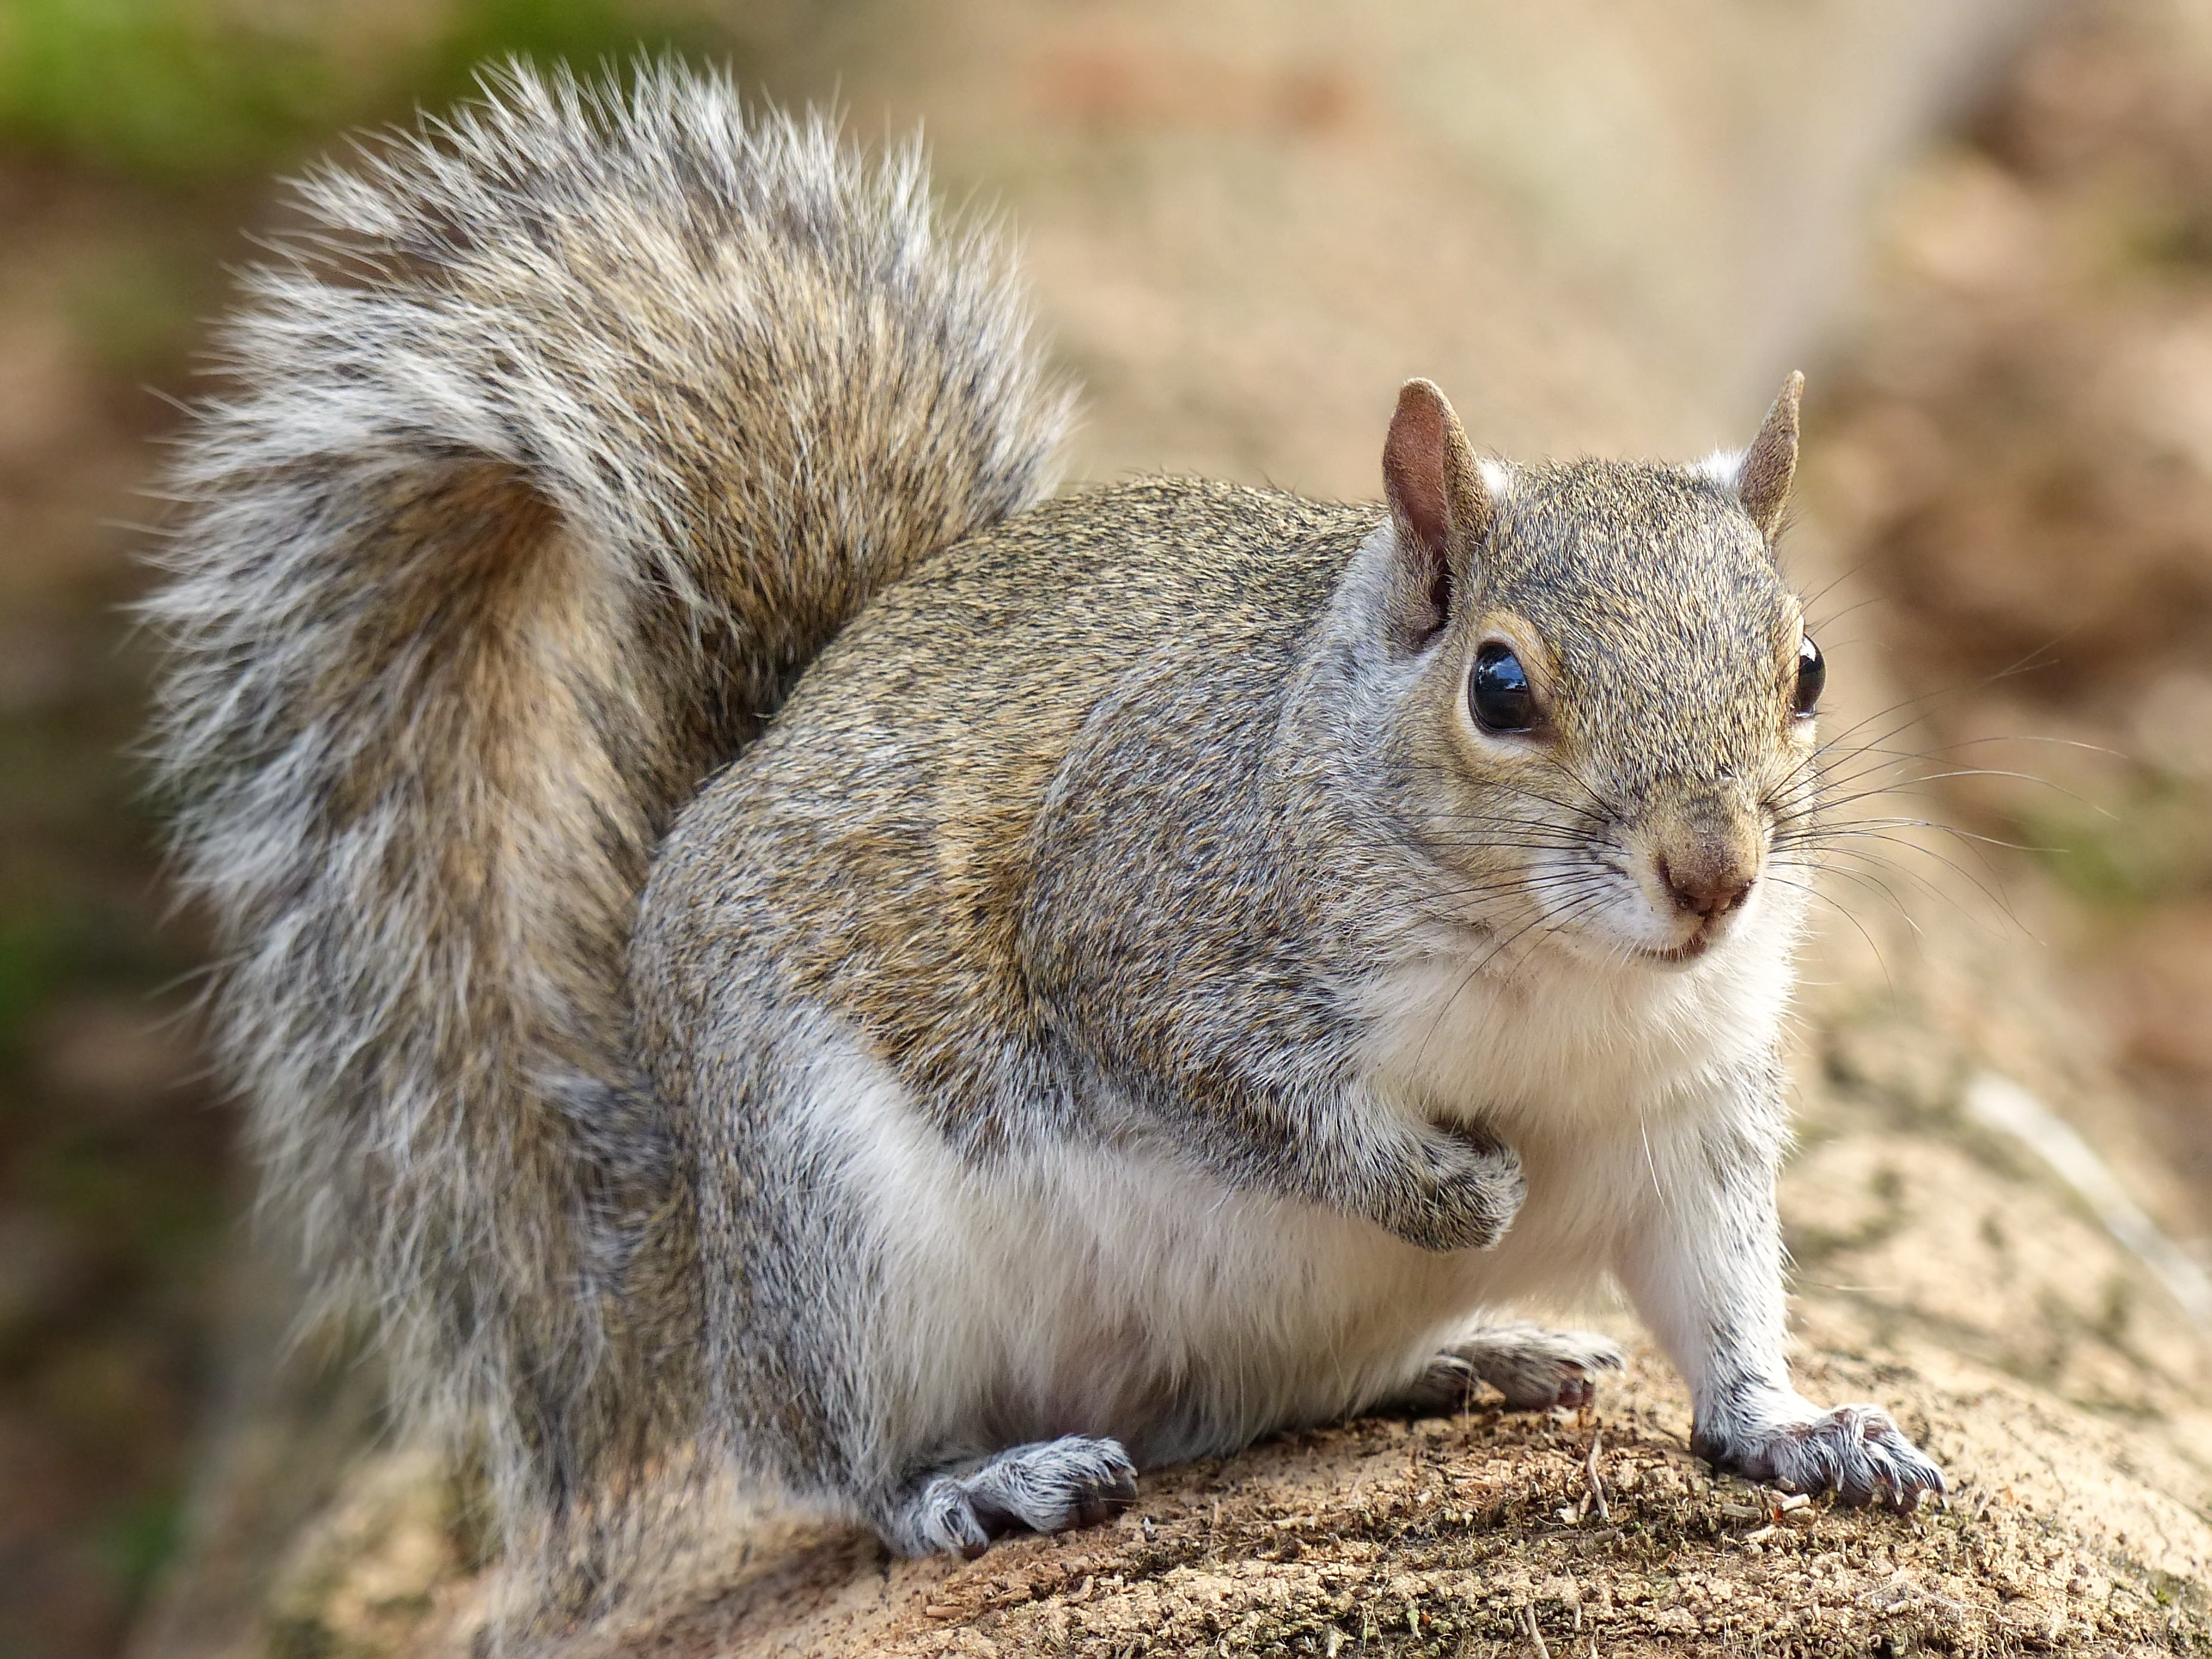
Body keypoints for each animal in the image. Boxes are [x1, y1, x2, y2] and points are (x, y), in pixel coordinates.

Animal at [151, 59, 1938, 1601]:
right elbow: (1223, 1084)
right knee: (828, 1454)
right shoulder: (1133, 924)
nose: (1714, 876)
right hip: (834, 1212)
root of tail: (697, 1221)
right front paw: (1441, 1191)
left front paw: (1796, 1427)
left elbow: (1720, 1296)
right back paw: (970, 1481)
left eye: (1805, 668)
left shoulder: (1690, 1112)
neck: (1564, 966)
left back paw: (1463, 1352)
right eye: (1498, 684)